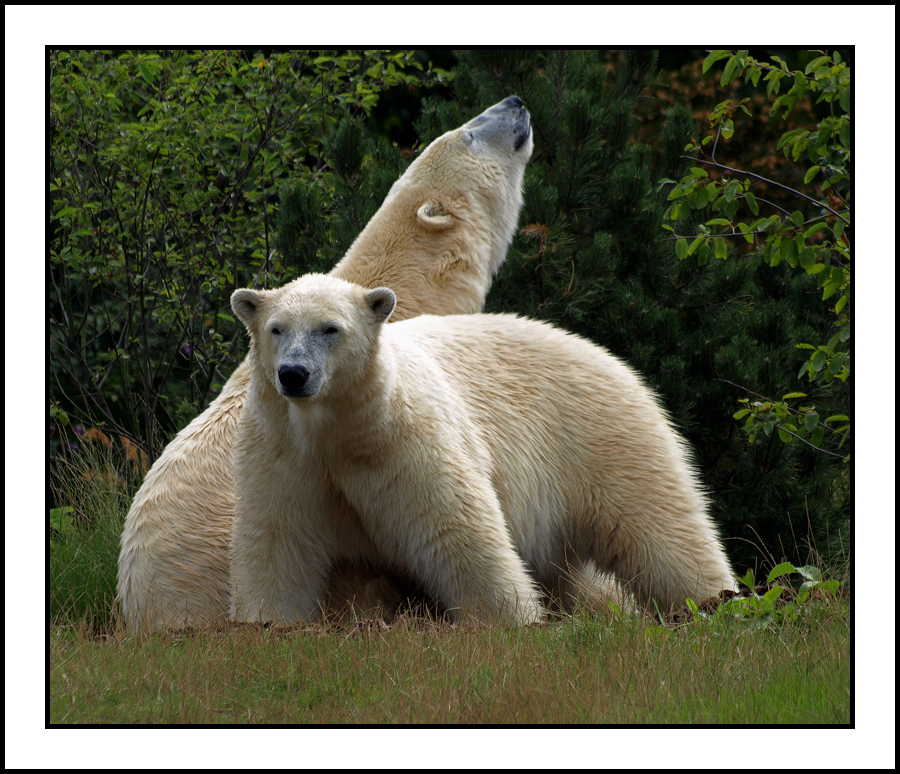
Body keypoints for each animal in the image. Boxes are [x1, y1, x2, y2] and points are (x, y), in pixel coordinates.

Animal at [229, 276, 736, 628]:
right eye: (276, 329)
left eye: (330, 328)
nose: (294, 374)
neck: (336, 430)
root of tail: (606, 354)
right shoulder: (283, 453)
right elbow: (278, 538)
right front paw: (266, 623)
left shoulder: (405, 443)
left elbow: (455, 528)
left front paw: (507, 619)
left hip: (601, 436)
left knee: (658, 525)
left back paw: (715, 602)